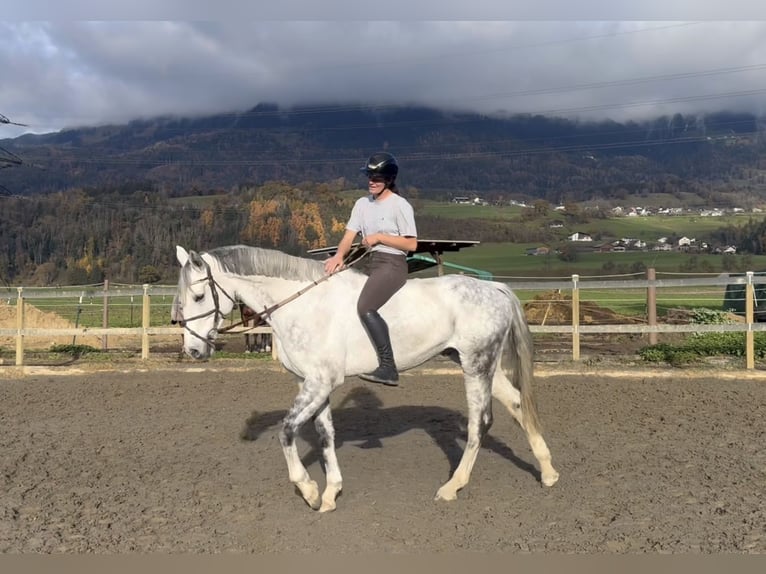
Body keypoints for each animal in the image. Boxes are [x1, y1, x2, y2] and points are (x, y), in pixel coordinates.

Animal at [172, 245, 560, 516]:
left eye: (199, 296)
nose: (193, 350)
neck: (302, 305)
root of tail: (495, 290)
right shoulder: (313, 384)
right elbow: (325, 435)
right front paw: (331, 494)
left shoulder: (319, 383)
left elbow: (287, 431)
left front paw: (309, 491)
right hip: (477, 363)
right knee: (517, 404)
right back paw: (548, 473)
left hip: (477, 364)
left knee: (480, 423)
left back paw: (452, 487)